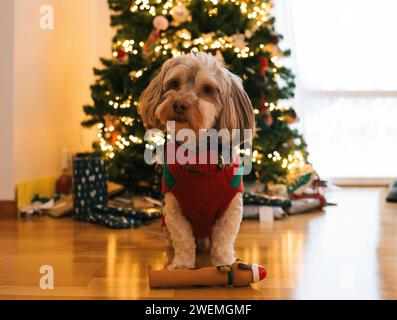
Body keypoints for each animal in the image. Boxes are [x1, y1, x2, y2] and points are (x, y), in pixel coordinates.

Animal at [138, 52, 254, 268]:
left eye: (207, 89)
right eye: (174, 83)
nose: (179, 104)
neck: (199, 158)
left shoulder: (231, 209)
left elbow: (223, 241)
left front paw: (224, 264)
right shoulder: (174, 209)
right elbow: (183, 239)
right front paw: (182, 265)